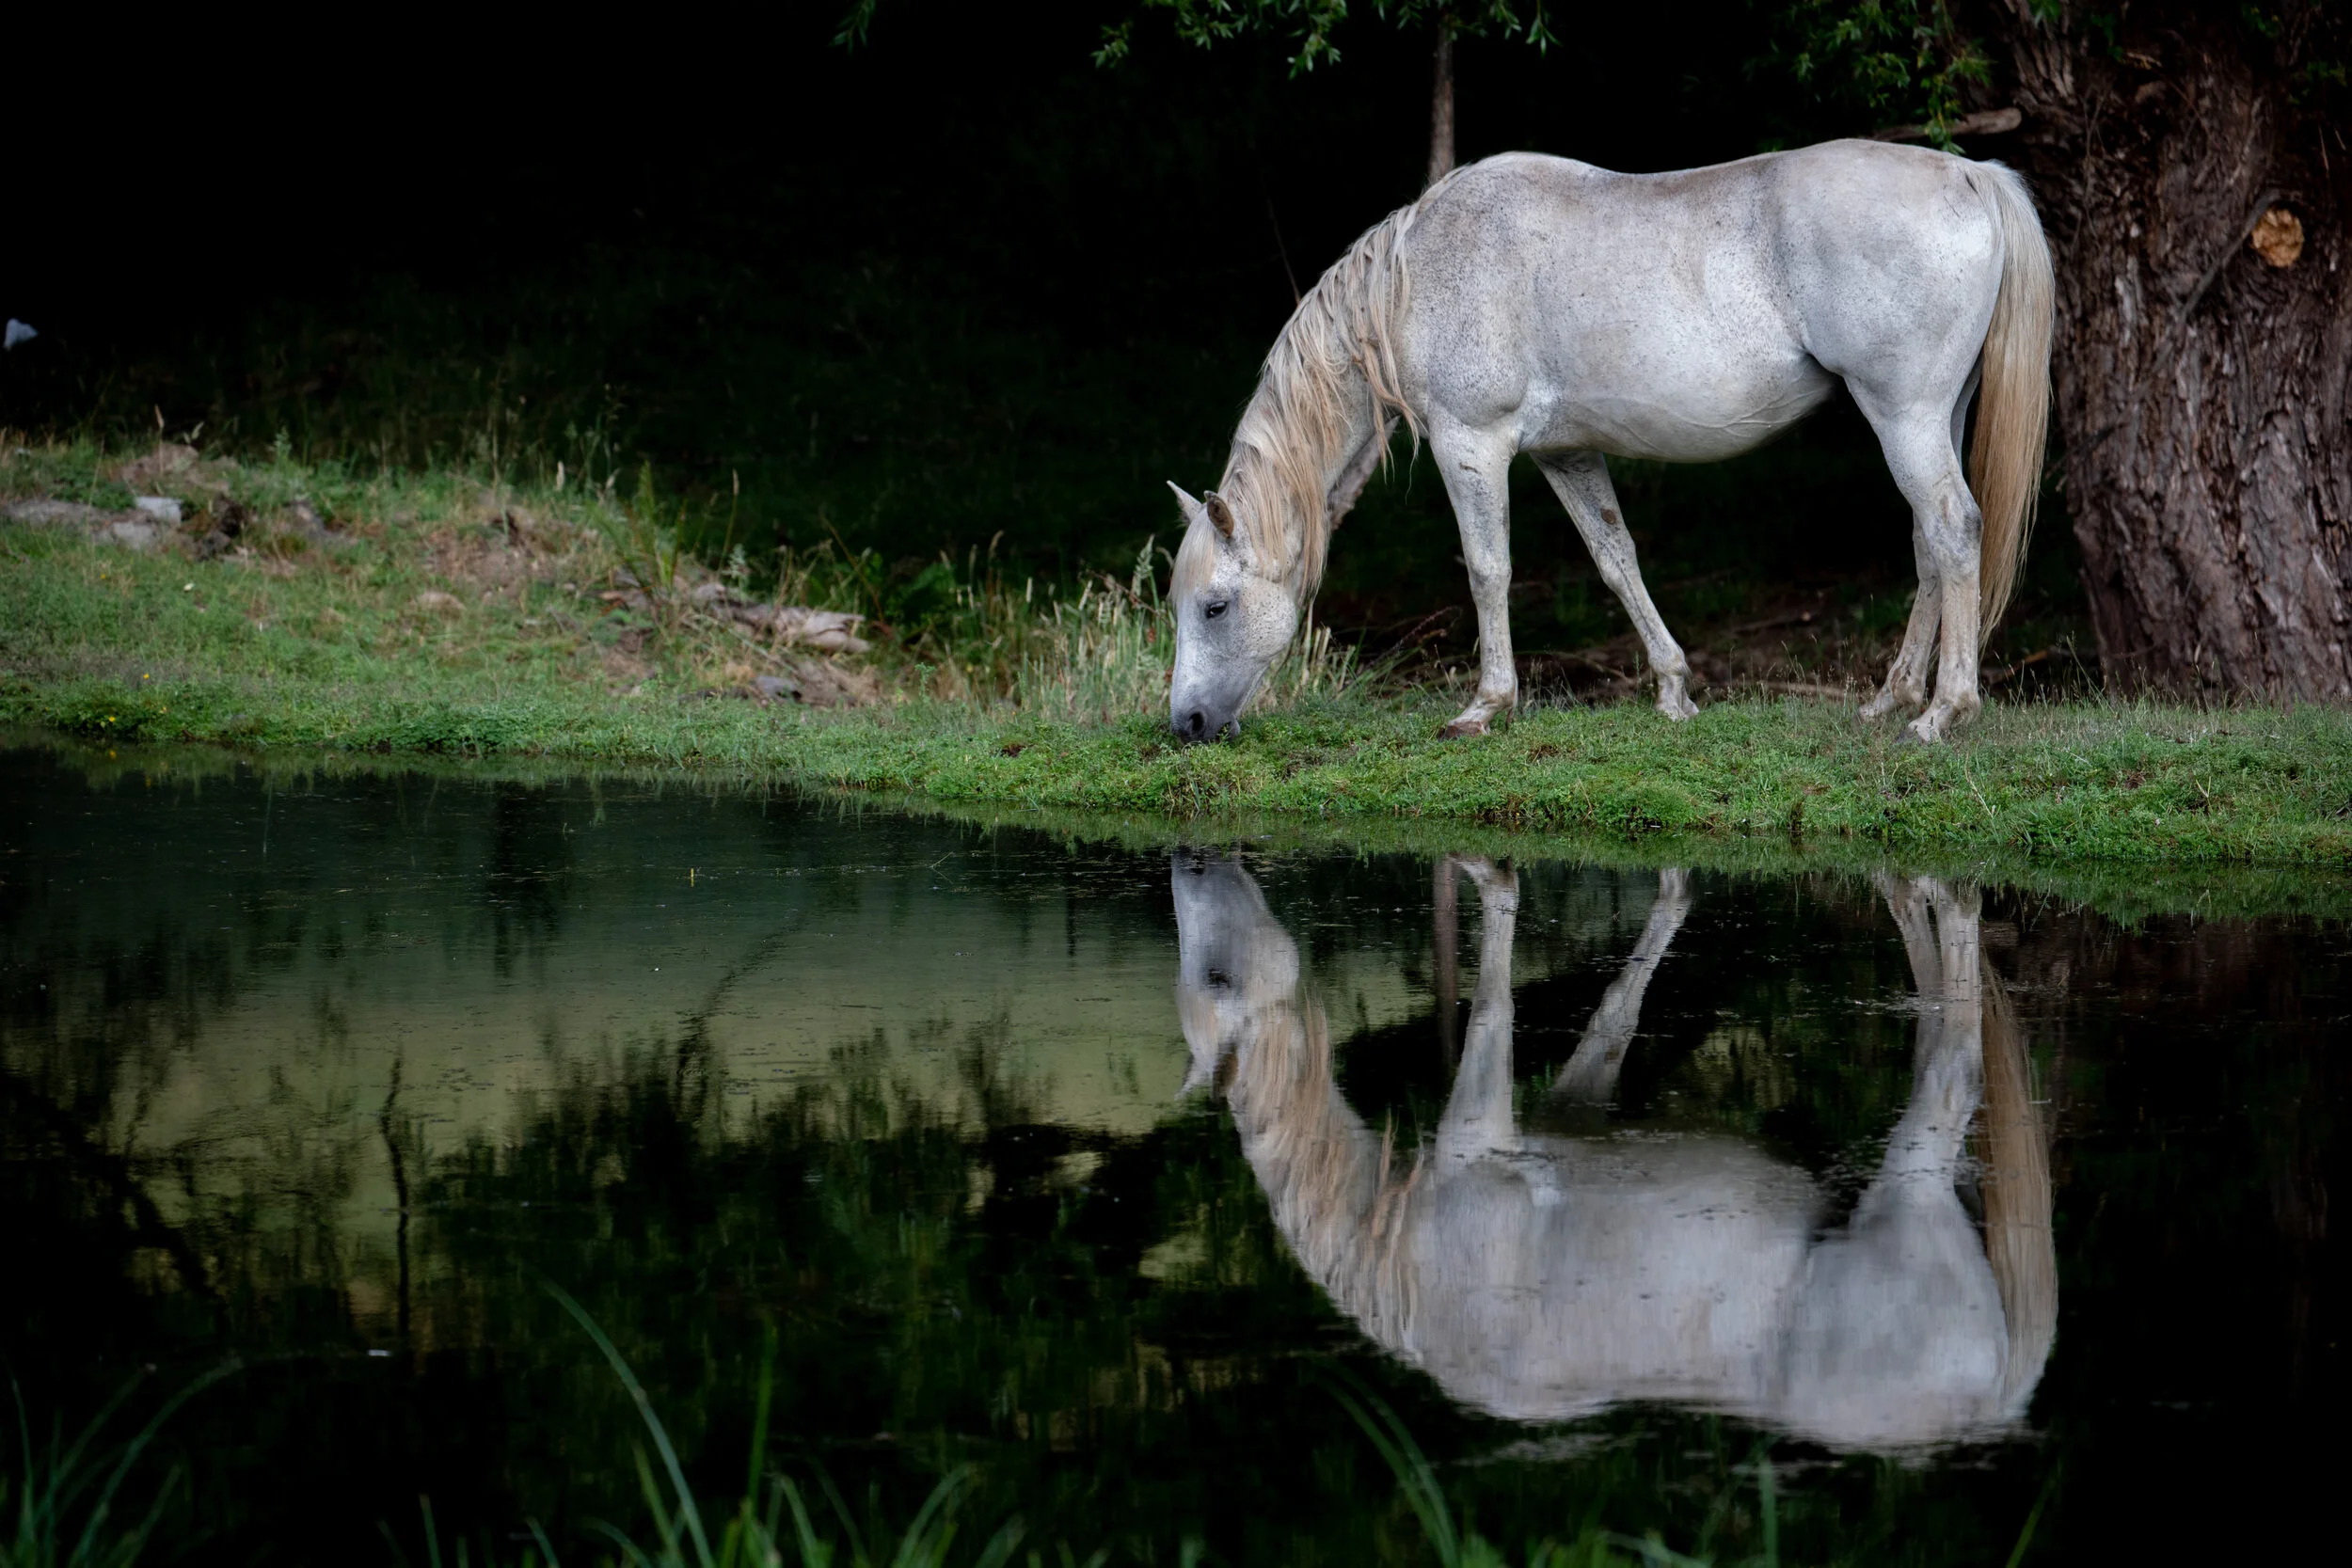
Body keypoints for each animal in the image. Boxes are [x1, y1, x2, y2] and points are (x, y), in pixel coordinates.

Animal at [1166, 139, 2053, 745]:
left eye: (1215, 605)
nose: (1186, 724)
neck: (1417, 278)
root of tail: (1970, 173)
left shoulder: (1471, 444)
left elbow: (1488, 570)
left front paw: (1485, 706)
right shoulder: (1566, 454)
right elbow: (1616, 559)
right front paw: (1673, 691)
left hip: (1903, 416)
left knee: (1953, 529)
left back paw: (1942, 712)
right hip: (1934, 418)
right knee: (1929, 544)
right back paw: (1892, 698)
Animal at [1171, 853, 2055, 1448]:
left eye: (1216, 976)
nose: (1190, 864)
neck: (1405, 1255)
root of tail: (1985, 1404)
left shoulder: (1477, 1130)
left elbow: (1494, 1001)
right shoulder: (1576, 1106)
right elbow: (1614, 1017)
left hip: (1909, 1178)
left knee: (1955, 1059)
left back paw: (1948, 892)